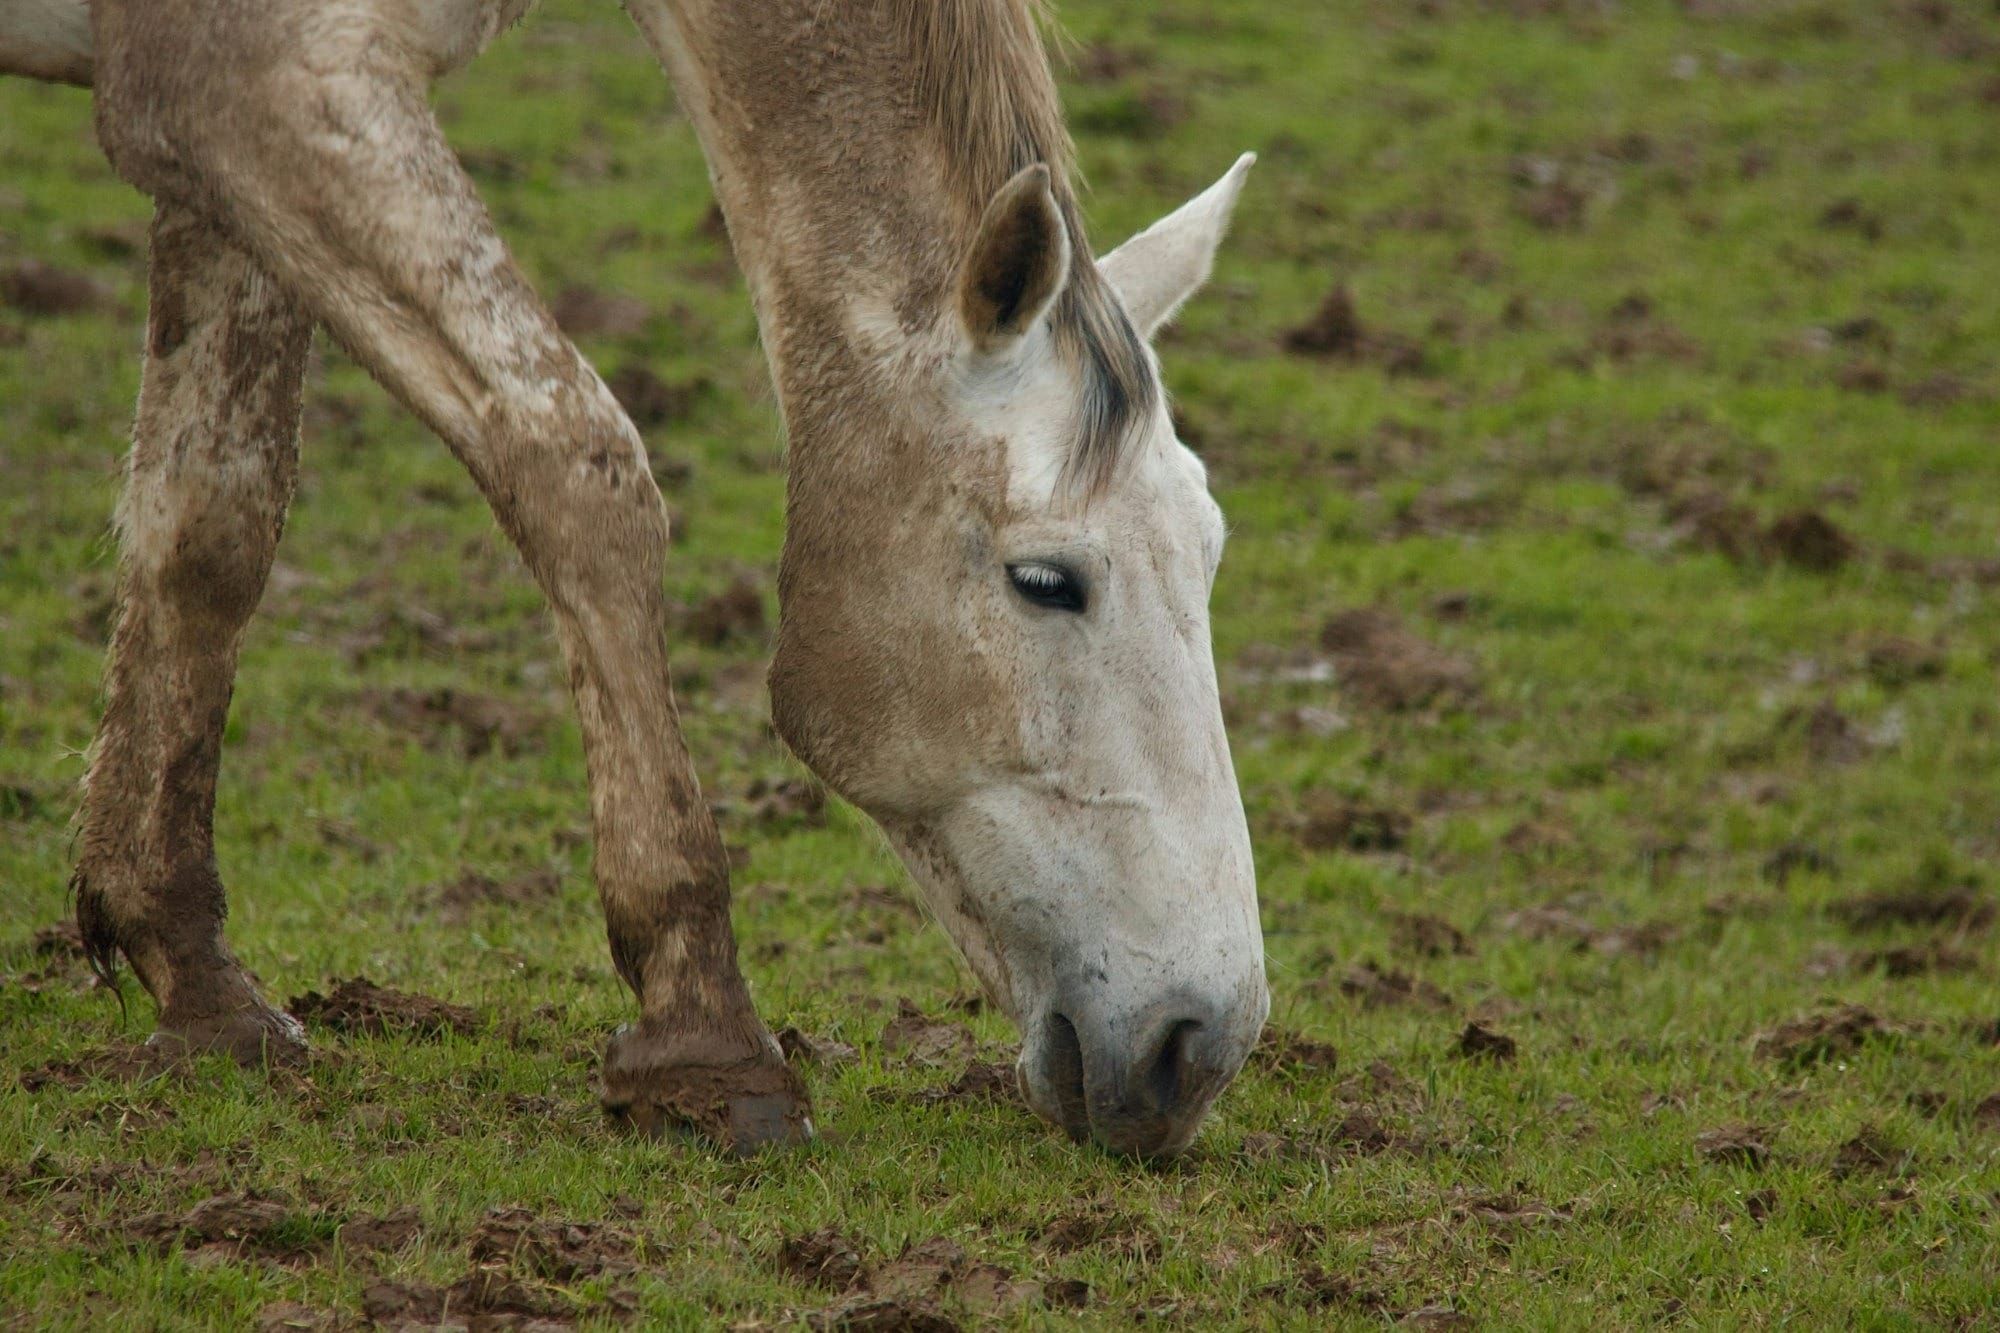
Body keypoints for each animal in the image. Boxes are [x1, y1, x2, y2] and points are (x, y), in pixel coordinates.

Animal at [0, 0, 1267, 1159]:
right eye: (1046, 580)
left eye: (1213, 546)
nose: (1198, 1043)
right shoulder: (246, 85)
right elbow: (577, 464)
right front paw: (701, 1031)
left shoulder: (210, 155)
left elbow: (211, 519)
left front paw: (194, 976)